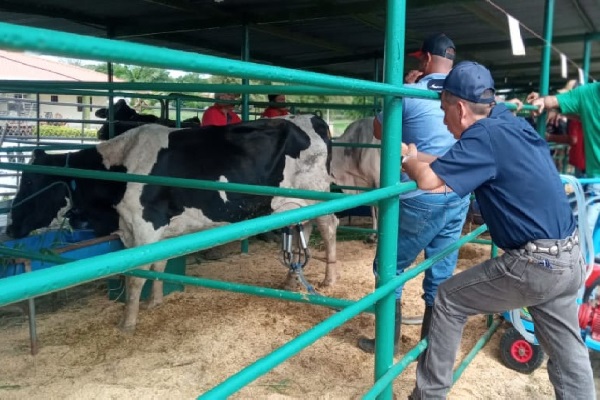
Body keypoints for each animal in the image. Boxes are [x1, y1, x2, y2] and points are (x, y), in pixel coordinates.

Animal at [7, 115, 338, 332]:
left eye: (32, 181)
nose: (10, 228)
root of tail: (313, 118)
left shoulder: (145, 227)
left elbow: (136, 276)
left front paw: (128, 323)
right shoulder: (147, 232)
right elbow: (159, 266)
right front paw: (154, 304)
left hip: (319, 196)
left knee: (329, 227)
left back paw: (328, 279)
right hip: (295, 205)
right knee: (303, 229)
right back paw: (291, 280)